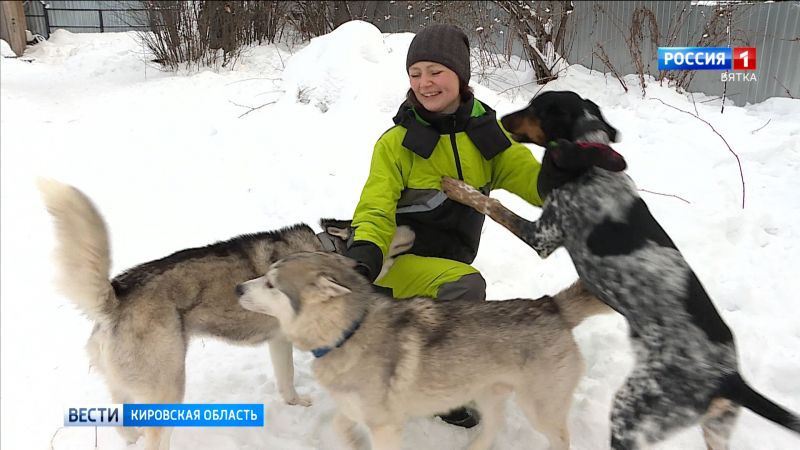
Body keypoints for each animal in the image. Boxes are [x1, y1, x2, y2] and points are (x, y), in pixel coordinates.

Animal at [36, 179, 412, 450]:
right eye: (395, 219)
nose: (415, 224)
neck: (327, 250)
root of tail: (117, 294)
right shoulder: (287, 337)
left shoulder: (278, 341)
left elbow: (285, 379)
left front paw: (294, 402)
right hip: (169, 388)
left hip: (128, 386)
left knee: (123, 423)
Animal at [238, 251, 612, 448]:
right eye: (265, 276)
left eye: (271, 284)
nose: (238, 287)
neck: (349, 332)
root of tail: (551, 305)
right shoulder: (358, 410)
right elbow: (340, 427)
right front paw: (353, 442)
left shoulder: (386, 426)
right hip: (488, 394)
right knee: (493, 428)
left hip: (540, 408)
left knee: (559, 439)